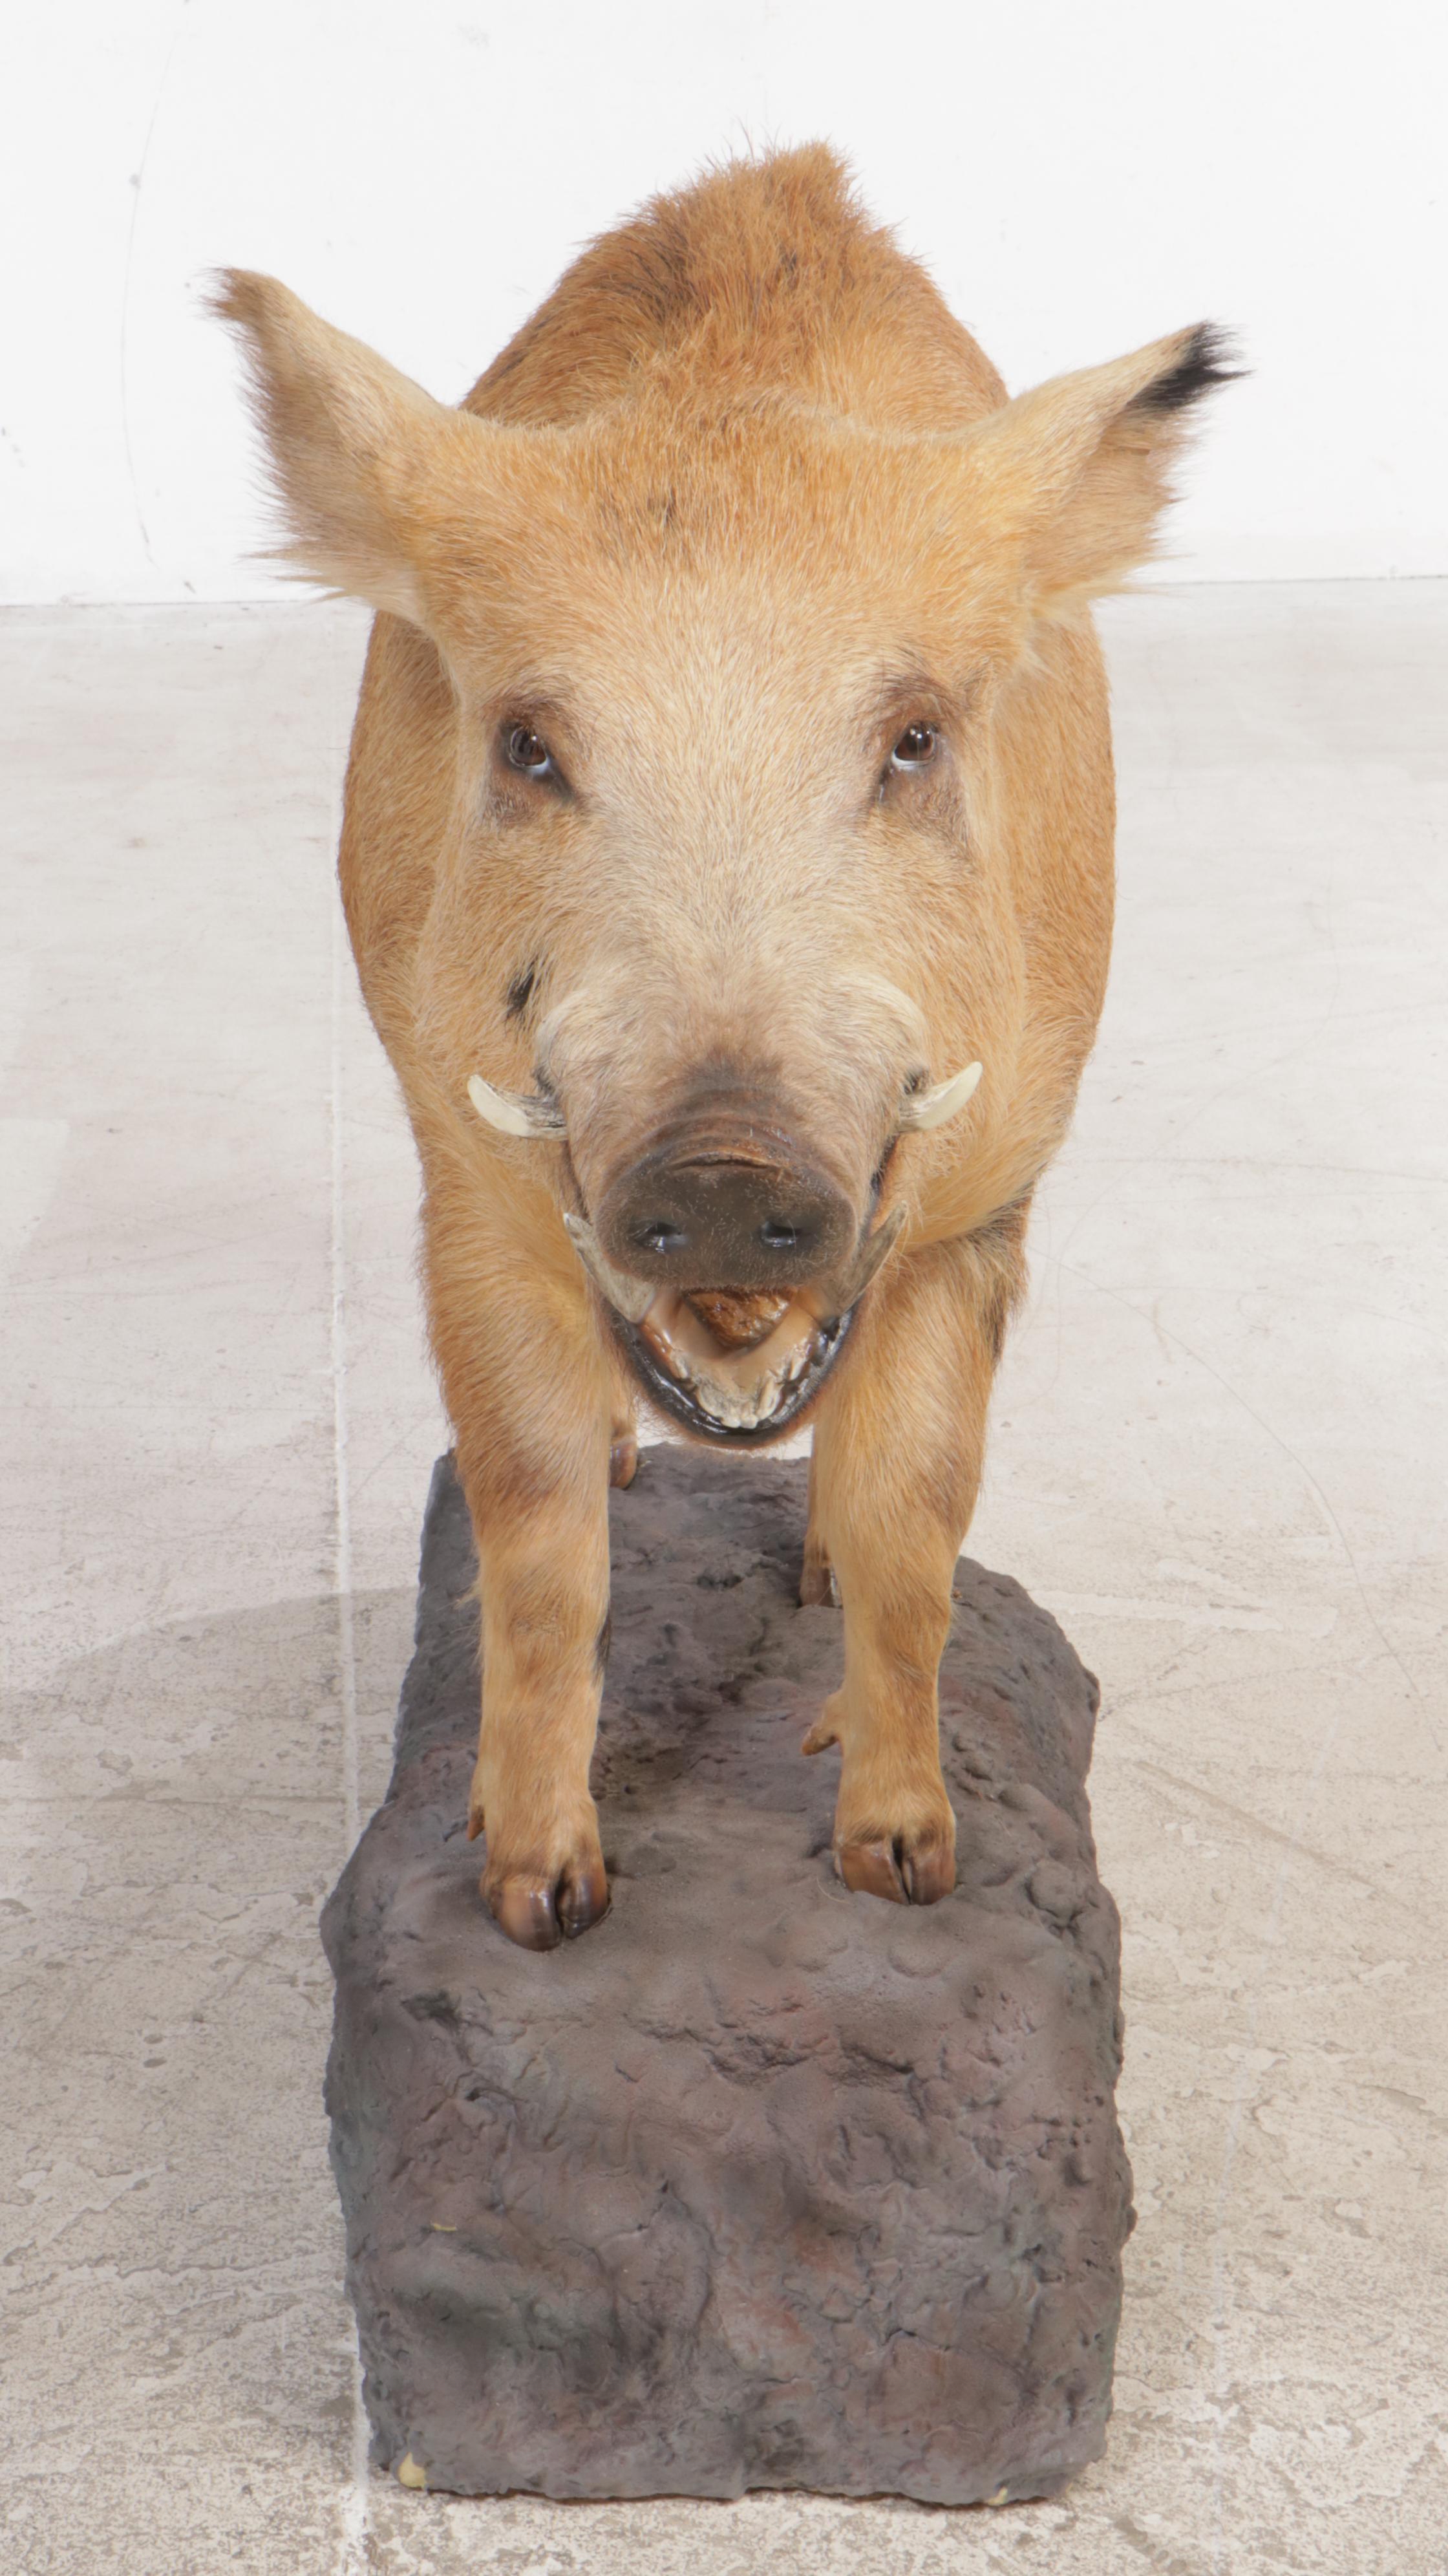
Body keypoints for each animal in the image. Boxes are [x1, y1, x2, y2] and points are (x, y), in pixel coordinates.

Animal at [213, 145, 1230, 1950]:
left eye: (916, 739)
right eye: (527, 746)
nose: (725, 1156)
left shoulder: (992, 1201)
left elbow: (915, 1519)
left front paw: (903, 1870)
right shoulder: (459, 1180)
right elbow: (537, 1529)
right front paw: (541, 1903)